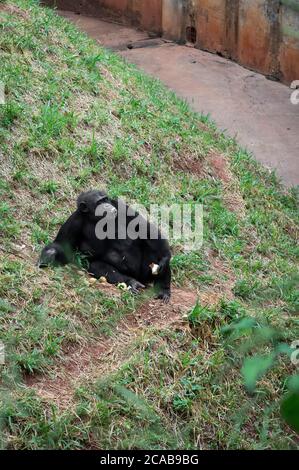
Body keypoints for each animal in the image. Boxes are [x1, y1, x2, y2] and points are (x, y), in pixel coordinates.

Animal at [38, 190, 172, 302]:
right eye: (99, 202)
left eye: (106, 199)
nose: (107, 204)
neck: (95, 218)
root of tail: (139, 278)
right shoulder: (74, 220)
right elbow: (63, 244)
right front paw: (49, 254)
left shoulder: (121, 207)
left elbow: (144, 228)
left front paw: (165, 256)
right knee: (96, 266)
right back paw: (131, 282)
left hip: (146, 271)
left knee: (153, 252)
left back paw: (163, 288)